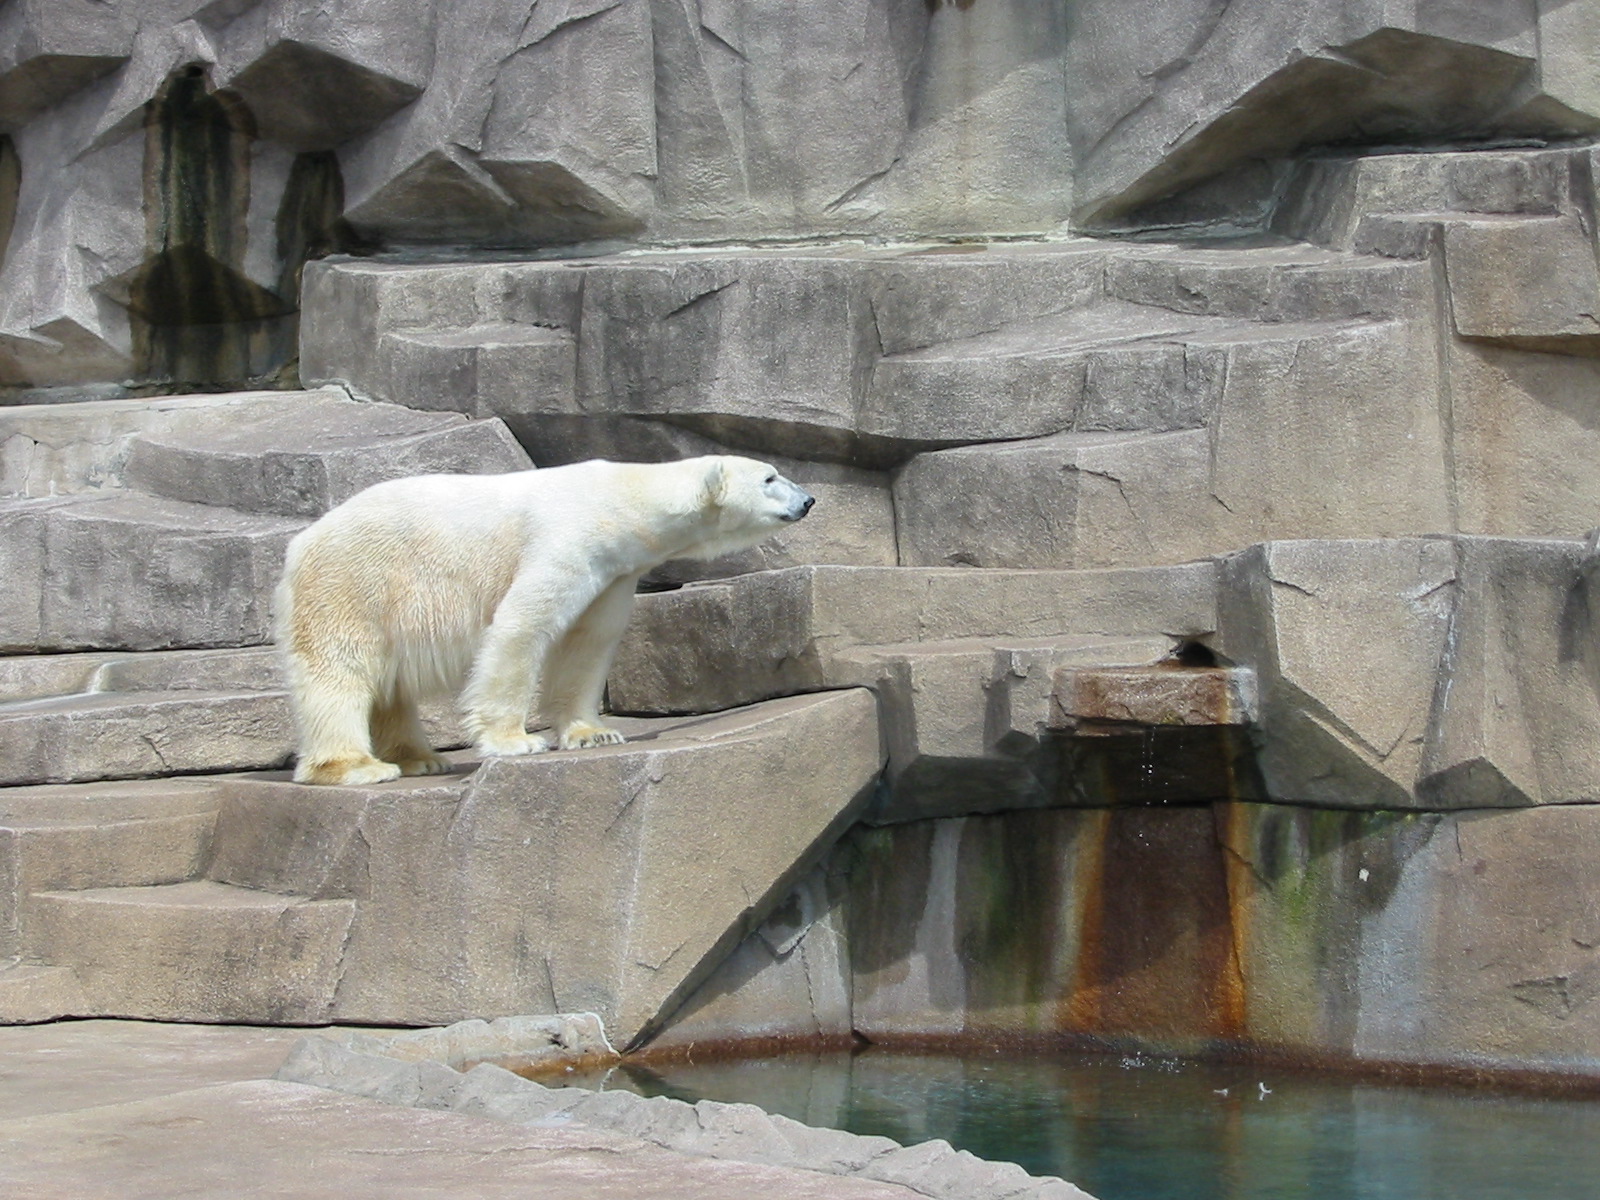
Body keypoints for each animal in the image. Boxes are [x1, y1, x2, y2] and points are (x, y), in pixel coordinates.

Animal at [274, 456, 814, 786]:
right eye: (770, 478)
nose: (808, 499)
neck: (619, 501)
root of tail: (300, 542)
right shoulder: (565, 540)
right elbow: (522, 627)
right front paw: (516, 741)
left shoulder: (614, 569)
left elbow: (588, 642)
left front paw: (593, 733)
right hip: (354, 581)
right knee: (340, 668)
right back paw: (357, 766)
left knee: (390, 685)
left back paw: (420, 759)